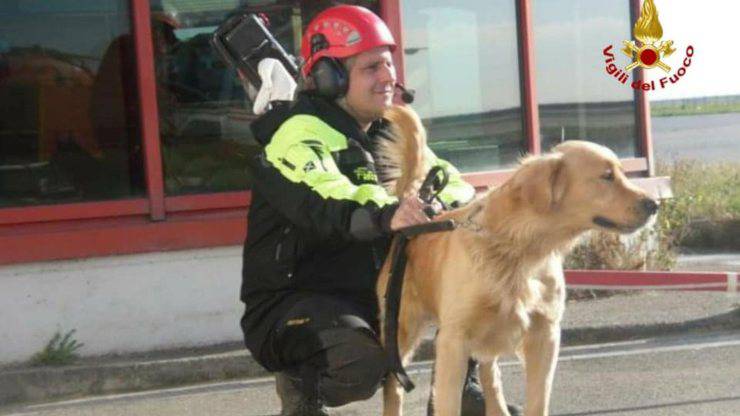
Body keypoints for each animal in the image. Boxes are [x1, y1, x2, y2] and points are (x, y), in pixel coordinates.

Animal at [378, 105, 656, 414]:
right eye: (606, 176)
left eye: (621, 172)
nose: (654, 204)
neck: (519, 247)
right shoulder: (453, 338)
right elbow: (447, 401)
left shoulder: (545, 333)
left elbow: (537, 399)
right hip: (401, 329)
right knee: (393, 386)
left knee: (490, 376)